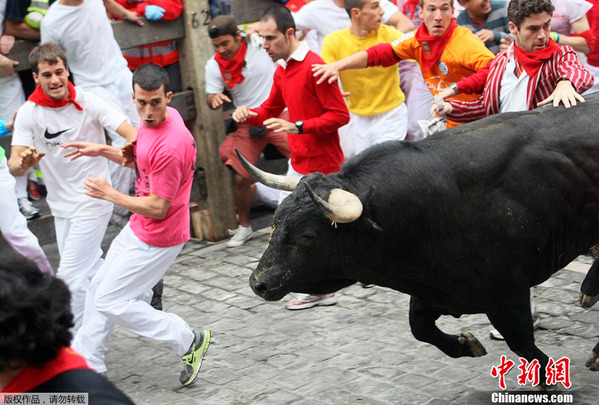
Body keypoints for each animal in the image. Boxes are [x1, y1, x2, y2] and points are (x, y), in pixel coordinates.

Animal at [237, 91, 599, 382]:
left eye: (309, 235)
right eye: (275, 221)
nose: (258, 283)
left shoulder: (507, 292)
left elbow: (522, 343)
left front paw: (549, 380)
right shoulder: (430, 291)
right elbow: (420, 328)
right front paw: (466, 344)